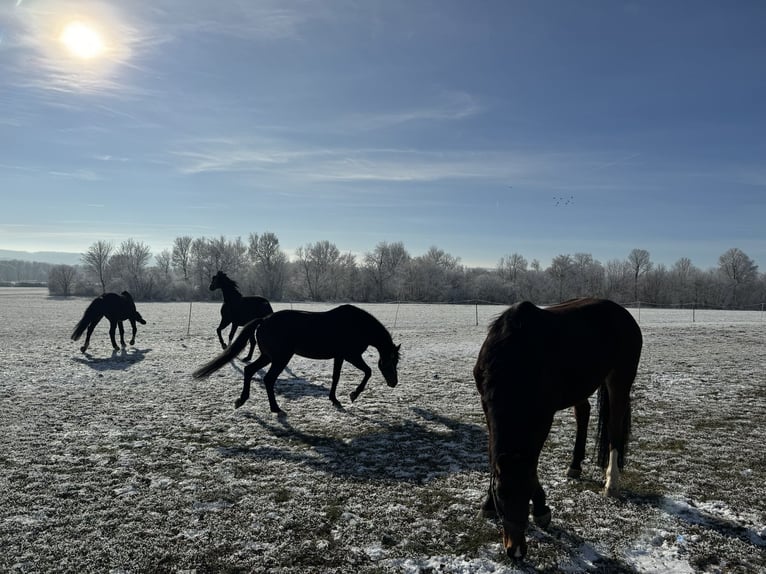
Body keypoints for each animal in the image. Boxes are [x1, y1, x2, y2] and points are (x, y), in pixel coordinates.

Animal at [192, 306, 402, 414]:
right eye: (390, 361)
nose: (394, 382)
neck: (358, 325)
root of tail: (264, 319)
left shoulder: (340, 357)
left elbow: (336, 378)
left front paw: (334, 399)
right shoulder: (351, 355)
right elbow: (368, 371)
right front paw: (353, 394)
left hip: (268, 356)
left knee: (250, 370)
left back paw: (241, 400)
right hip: (280, 358)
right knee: (268, 379)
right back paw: (275, 408)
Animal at [476, 300, 644, 560]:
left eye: (527, 495)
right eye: (501, 495)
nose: (516, 551)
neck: (514, 356)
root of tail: (623, 313)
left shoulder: (544, 416)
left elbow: (533, 463)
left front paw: (542, 509)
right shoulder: (486, 406)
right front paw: (487, 504)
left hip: (620, 380)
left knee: (614, 429)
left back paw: (611, 483)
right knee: (583, 413)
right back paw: (575, 466)